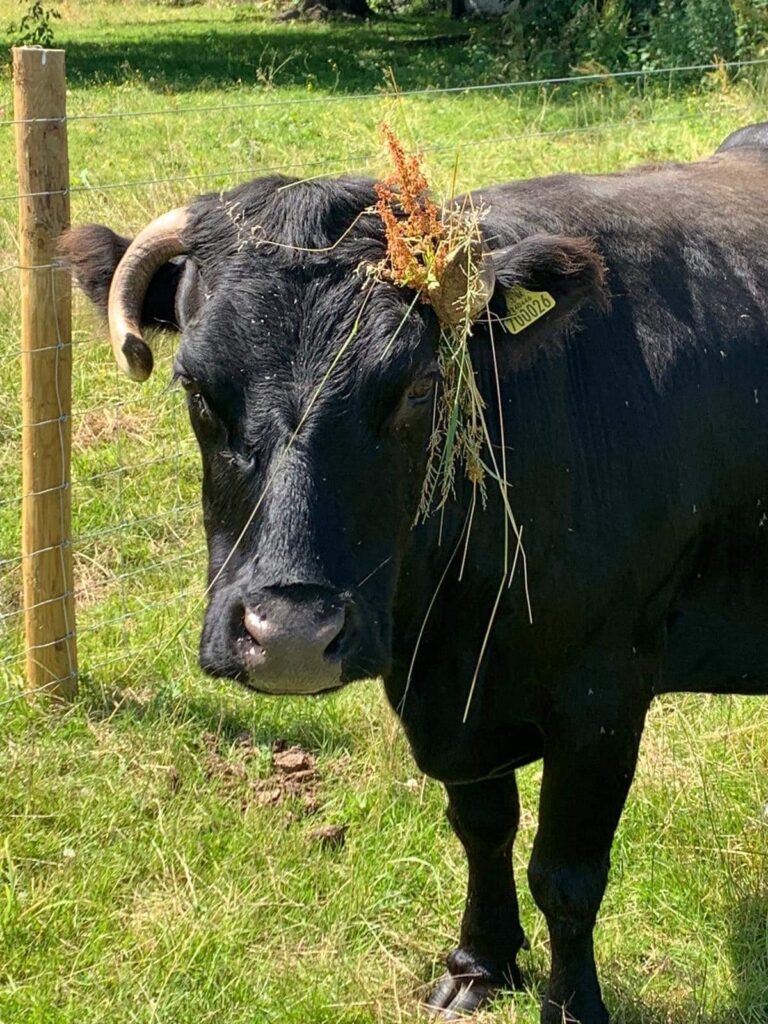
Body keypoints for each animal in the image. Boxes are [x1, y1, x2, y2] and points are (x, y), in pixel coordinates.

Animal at [60, 122, 768, 1023]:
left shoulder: (606, 691)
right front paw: (480, 964)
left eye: (419, 386)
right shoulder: (446, 698)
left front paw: (572, 1006)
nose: (290, 637)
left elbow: (568, 875)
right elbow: (482, 826)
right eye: (196, 388)